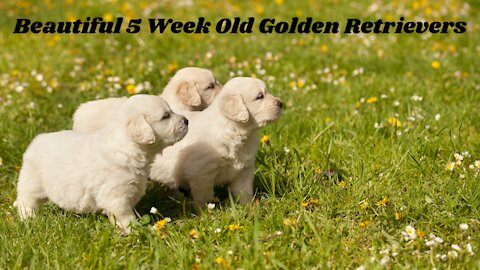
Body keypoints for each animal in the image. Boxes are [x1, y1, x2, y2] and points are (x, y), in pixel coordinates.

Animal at [15, 94, 188, 234]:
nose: (186, 120)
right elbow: (126, 218)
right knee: (26, 201)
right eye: (165, 116)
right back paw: (28, 219)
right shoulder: (117, 197)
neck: (126, 146)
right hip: (32, 183)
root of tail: (36, 141)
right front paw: (136, 231)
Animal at [150, 77, 284, 208]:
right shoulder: (202, 173)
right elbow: (204, 198)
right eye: (260, 96)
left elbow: (244, 192)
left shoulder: (244, 170)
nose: (281, 103)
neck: (233, 131)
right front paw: (207, 212)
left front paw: (248, 208)